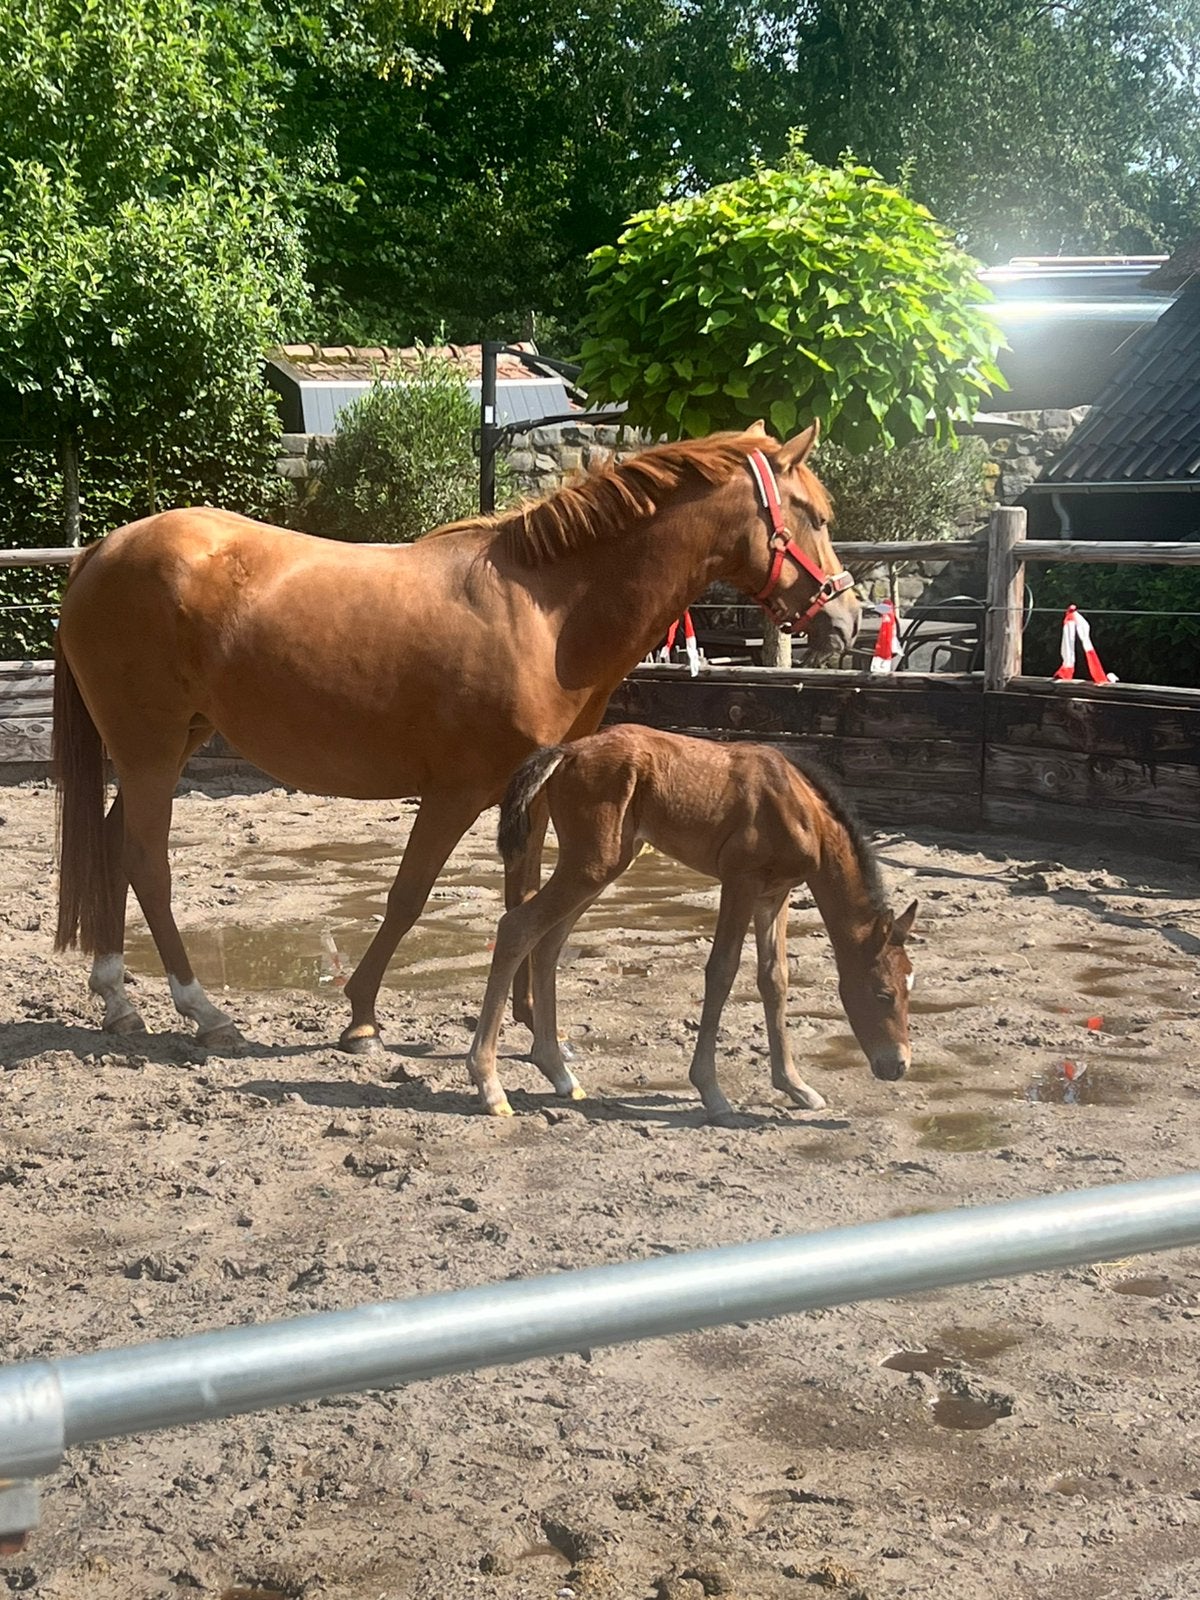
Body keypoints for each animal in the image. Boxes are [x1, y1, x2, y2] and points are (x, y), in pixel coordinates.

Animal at [52, 423, 860, 1054]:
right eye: (813, 514)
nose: (846, 619)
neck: (545, 613)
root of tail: (103, 550)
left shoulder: (534, 789)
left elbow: (523, 895)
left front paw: (533, 1023)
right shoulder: (457, 793)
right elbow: (409, 896)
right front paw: (362, 1018)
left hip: (169, 745)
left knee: (116, 844)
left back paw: (117, 999)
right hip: (152, 750)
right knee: (146, 862)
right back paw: (203, 1011)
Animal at [466, 725, 917, 1123]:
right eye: (883, 994)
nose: (898, 1065)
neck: (802, 809)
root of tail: (567, 752)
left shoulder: (775, 894)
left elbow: (775, 978)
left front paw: (795, 1086)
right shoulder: (740, 881)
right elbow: (721, 972)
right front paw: (713, 1096)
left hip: (602, 866)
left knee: (548, 942)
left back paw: (559, 1073)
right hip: (592, 864)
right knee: (518, 928)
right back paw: (490, 1087)